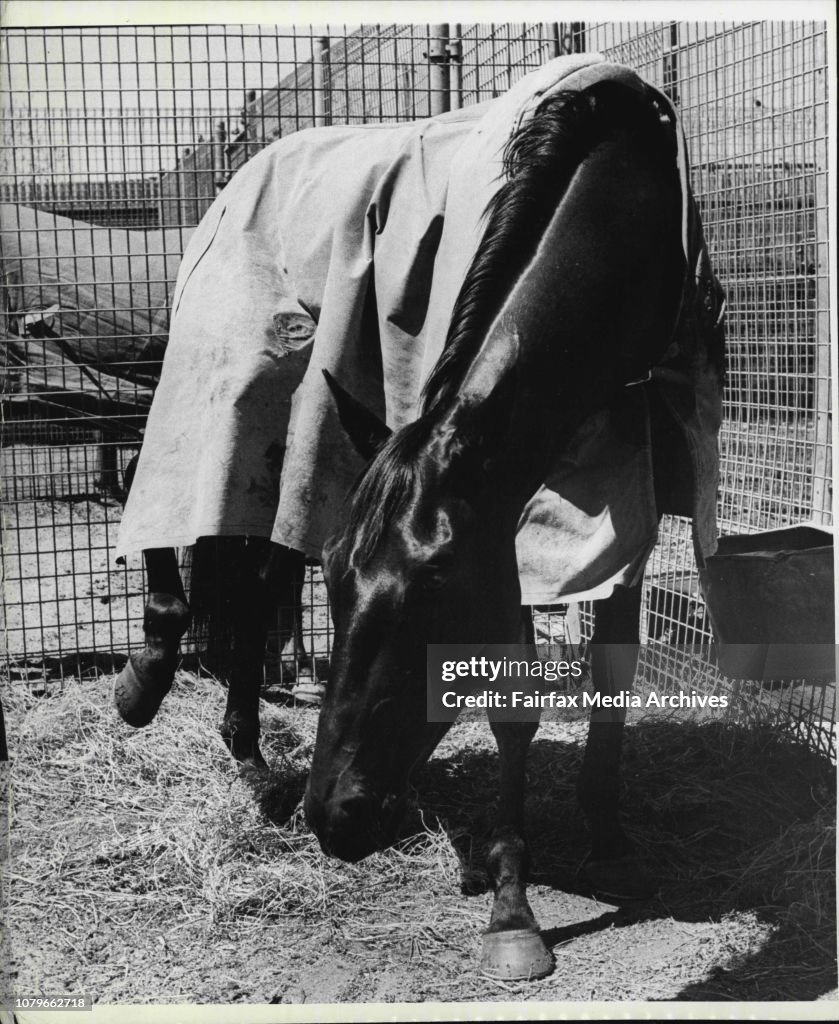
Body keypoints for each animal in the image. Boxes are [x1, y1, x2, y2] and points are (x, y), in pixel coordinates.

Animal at [305, 79, 725, 974]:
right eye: (327, 570)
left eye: (435, 581)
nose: (335, 815)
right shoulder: (516, 538)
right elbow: (509, 709)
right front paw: (508, 901)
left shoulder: (623, 507)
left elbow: (608, 677)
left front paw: (605, 840)